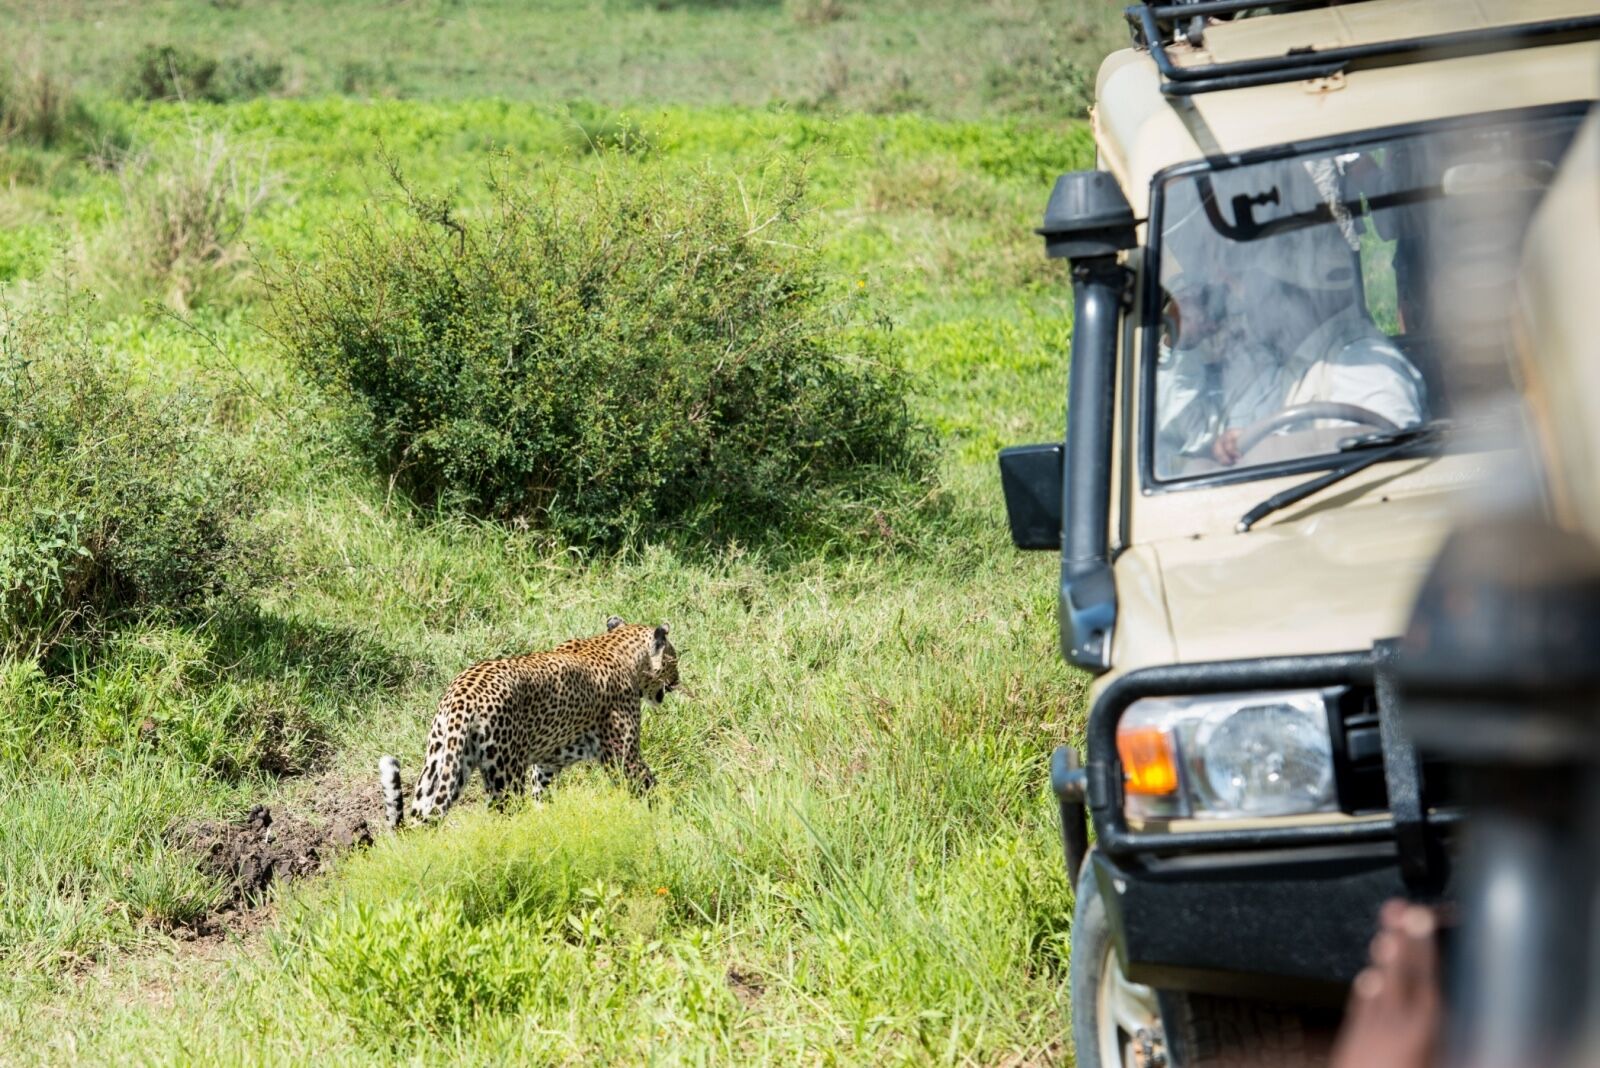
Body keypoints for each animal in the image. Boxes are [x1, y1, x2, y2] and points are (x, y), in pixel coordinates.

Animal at [384, 613, 678, 831]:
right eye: (674, 660)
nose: (677, 680)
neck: (619, 649)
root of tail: (463, 696)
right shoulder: (623, 755)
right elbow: (649, 786)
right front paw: (668, 813)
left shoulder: (547, 762)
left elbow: (542, 794)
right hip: (505, 774)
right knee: (503, 818)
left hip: (441, 762)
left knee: (421, 819)